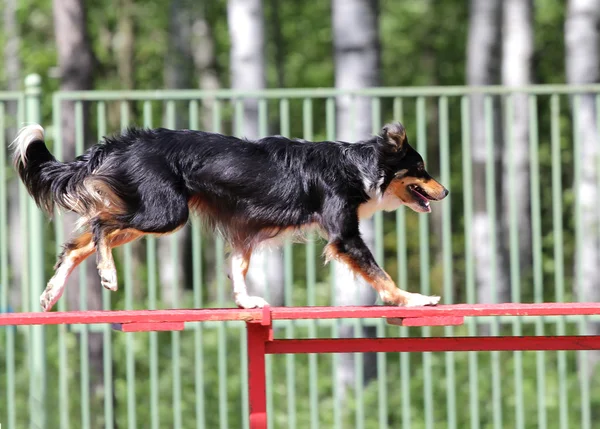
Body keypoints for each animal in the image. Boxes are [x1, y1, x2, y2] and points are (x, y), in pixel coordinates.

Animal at [11, 120, 448, 310]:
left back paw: (51, 293)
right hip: (165, 213)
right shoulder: (344, 235)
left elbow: (237, 266)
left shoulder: (246, 228)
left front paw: (245, 302)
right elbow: (380, 274)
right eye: (422, 169)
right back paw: (108, 274)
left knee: (76, 244)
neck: (360, 166)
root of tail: (122, 143)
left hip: (151, 210)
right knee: (100, 224)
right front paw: (413, 299)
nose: (445, 191)